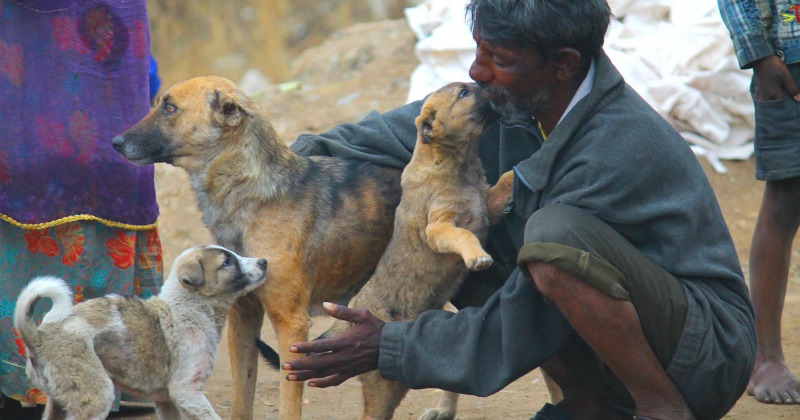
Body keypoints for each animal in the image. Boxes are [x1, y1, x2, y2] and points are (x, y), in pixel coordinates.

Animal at [13, 244, 268, 418]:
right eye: (226, 263)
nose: (264, 262)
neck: (191, 306)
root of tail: (40, 337)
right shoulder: (187, 392)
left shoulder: (167, 401)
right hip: (97, 396)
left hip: (57, 402)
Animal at [111, 76, 400, 420]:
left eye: (170, 108)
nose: (115, 142)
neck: (253, 196)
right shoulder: (243, 318)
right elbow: (242, 397)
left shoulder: (291, 324)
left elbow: (289, 405)